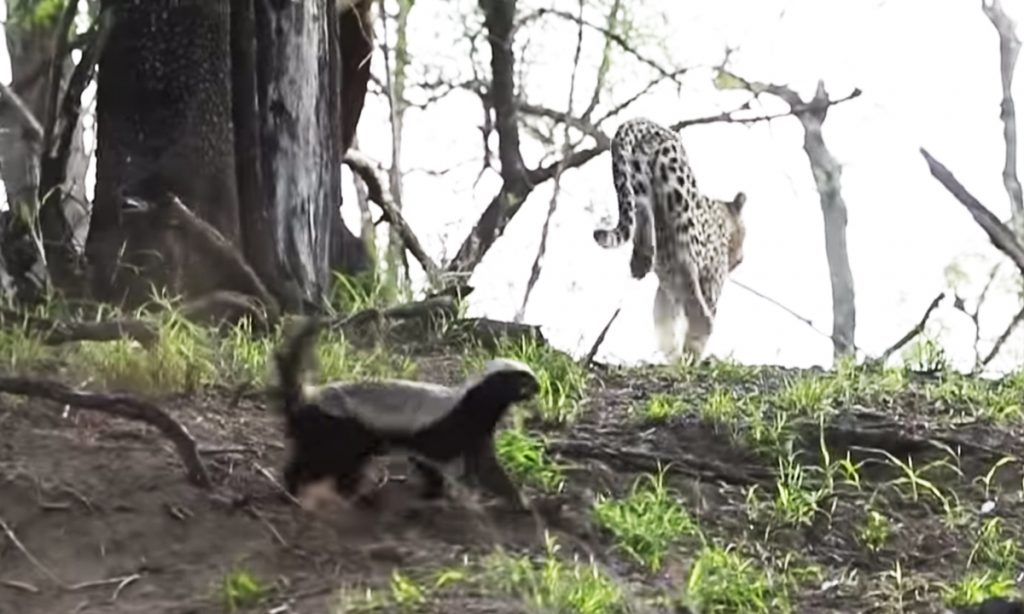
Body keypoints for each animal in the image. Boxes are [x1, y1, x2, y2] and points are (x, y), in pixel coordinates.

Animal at [592, 117, 747, 361]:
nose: (739, 259)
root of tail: (647, 124)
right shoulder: (710, 279)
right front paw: (688, 354)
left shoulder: (668, 290)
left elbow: (664, 317)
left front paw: (674, 354)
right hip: (679, 197)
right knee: (696, 302)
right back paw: (697, 344)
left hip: (636, 180)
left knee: (641, 211)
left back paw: (642, 259)